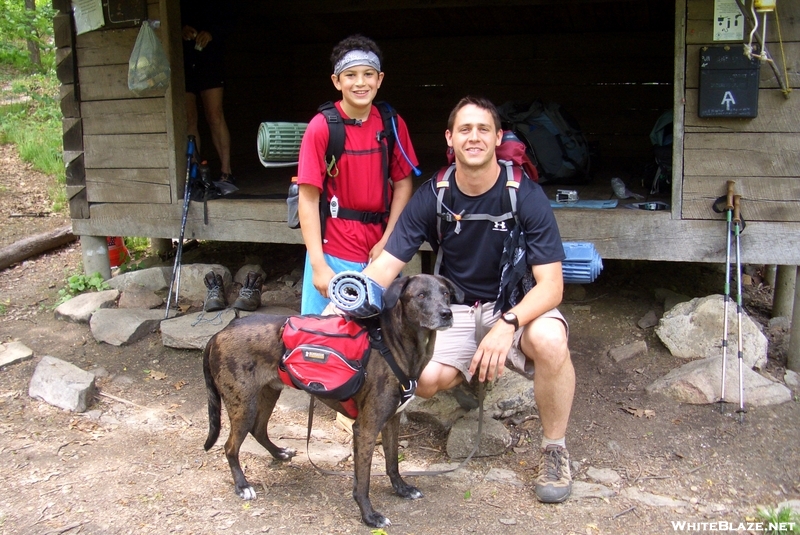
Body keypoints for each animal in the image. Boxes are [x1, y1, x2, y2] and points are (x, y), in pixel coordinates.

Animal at [203, 274, 462, 528]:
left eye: (446, 294)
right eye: (421, 295)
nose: (447, 313)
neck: (395, 344)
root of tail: (218, 334)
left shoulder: (392, 421)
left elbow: (392, 462)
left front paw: (402, 489)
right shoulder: (366, 429)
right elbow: (363, 481)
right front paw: (369, 516)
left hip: (268, 393)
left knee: (258, 429)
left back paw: (279, 453)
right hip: (243, 405)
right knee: (230, 447)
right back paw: (242, 486)